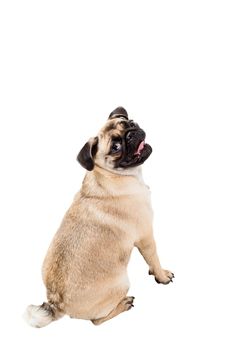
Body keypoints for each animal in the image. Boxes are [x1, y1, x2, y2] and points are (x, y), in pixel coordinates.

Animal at [23, 106, 174, 328]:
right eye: (116, 147)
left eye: (131, 123)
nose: (131, 134)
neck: (112, 176)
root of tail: (56, 303)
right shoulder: (146, 237)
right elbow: (154, 259)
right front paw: (161, 276)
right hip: (122, 282)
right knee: (97, 321)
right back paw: (124, 304)